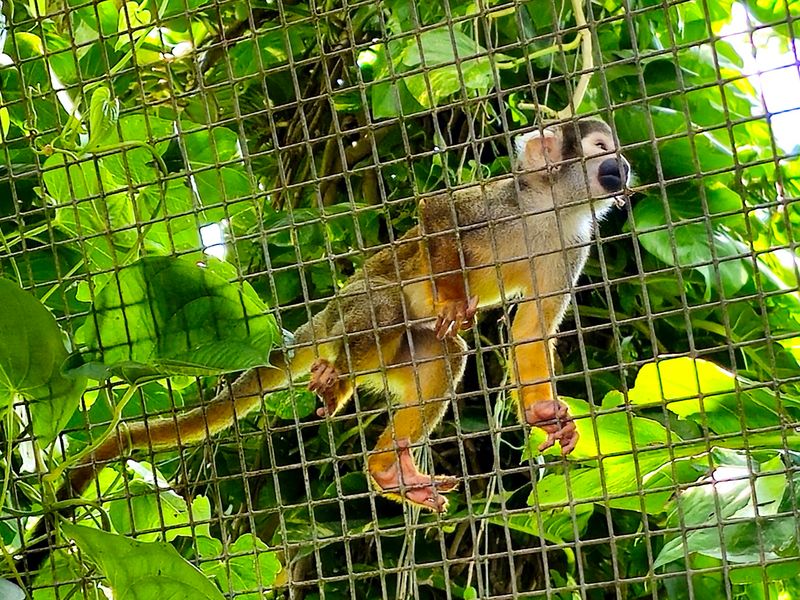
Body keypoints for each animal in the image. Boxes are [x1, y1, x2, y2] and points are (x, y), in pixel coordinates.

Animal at [42, 118, 631, 524]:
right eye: (602, 151)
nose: (623, 168)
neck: (547, 209)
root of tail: (322, 321)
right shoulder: (498, 203)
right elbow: (436, 212)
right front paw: (449, 298)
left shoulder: (573, 244)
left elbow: (530, 330)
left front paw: (544, 415)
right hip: (345, 318)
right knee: (384, 305)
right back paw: (338, 379)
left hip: (388, 362)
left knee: (443, 356)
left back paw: (388, 467)